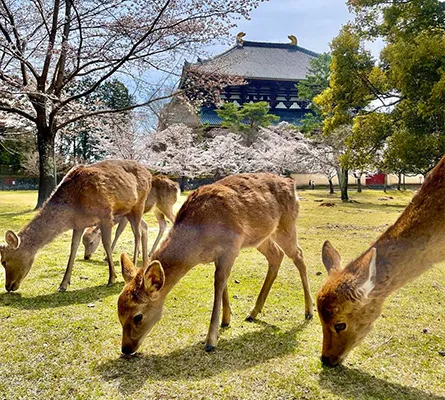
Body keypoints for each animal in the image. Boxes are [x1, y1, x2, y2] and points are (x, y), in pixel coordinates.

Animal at [0, 158, 151, 292]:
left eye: (4, 261)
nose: (8, 287)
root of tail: (149, 174)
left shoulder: (106, 214)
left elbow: (106, 244)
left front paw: (111, 278)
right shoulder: (79, 223)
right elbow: (73, 247)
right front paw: (63, 285)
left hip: (139, 204)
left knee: (137, 234)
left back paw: (134, 265)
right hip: (129, 212)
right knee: (142, 229)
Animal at [116, 173, 314, 354]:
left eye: (138, 316)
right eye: (119, 314)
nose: (126, 349)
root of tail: (292, 184)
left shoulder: (231, 246)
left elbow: (218, 283)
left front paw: (211, 340)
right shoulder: (217, 257)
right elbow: (223, 283)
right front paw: (226, 320)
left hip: (286, 225)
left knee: (299, 255)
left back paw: (309, 311)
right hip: (261, 237)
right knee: (276, 255)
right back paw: (253, 312)